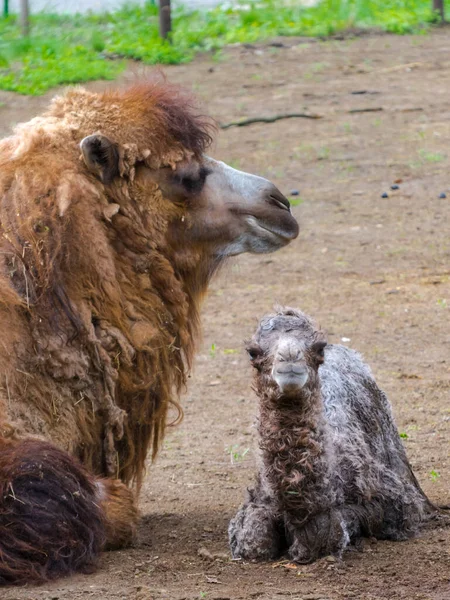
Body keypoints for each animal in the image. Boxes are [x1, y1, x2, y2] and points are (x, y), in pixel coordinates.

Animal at [229, 308, 436, 564]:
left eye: (319, 347)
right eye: (253, 352)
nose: (290, 357)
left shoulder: (395, 503)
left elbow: (332, 529)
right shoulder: (256, 501)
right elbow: (254, 541)